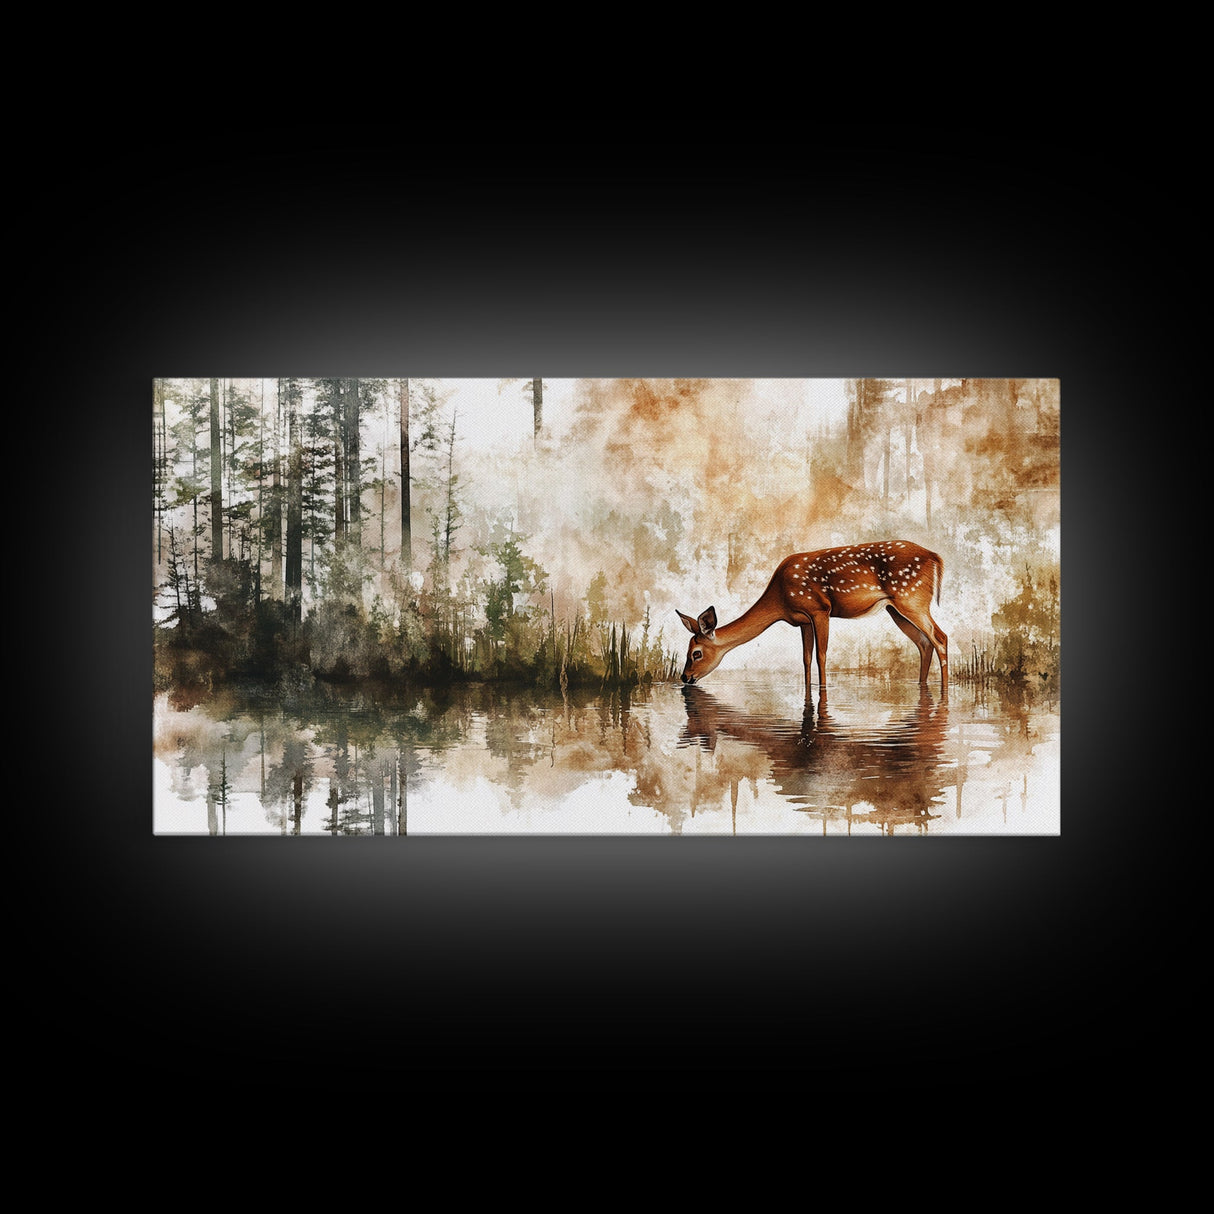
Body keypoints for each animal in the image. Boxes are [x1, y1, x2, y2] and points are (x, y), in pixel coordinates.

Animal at [678, 540, 948, 697]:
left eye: (696, 653)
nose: (684, 677)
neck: (779, 598)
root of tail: (936, 557)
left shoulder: (820, 609)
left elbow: (821, 656)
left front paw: (823, 691)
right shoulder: (803, 620)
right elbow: (806, 658)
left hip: (911, 599)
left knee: (940, 637)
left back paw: (944, 689)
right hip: (896, 609)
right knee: (924, 643)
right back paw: (921, 686)